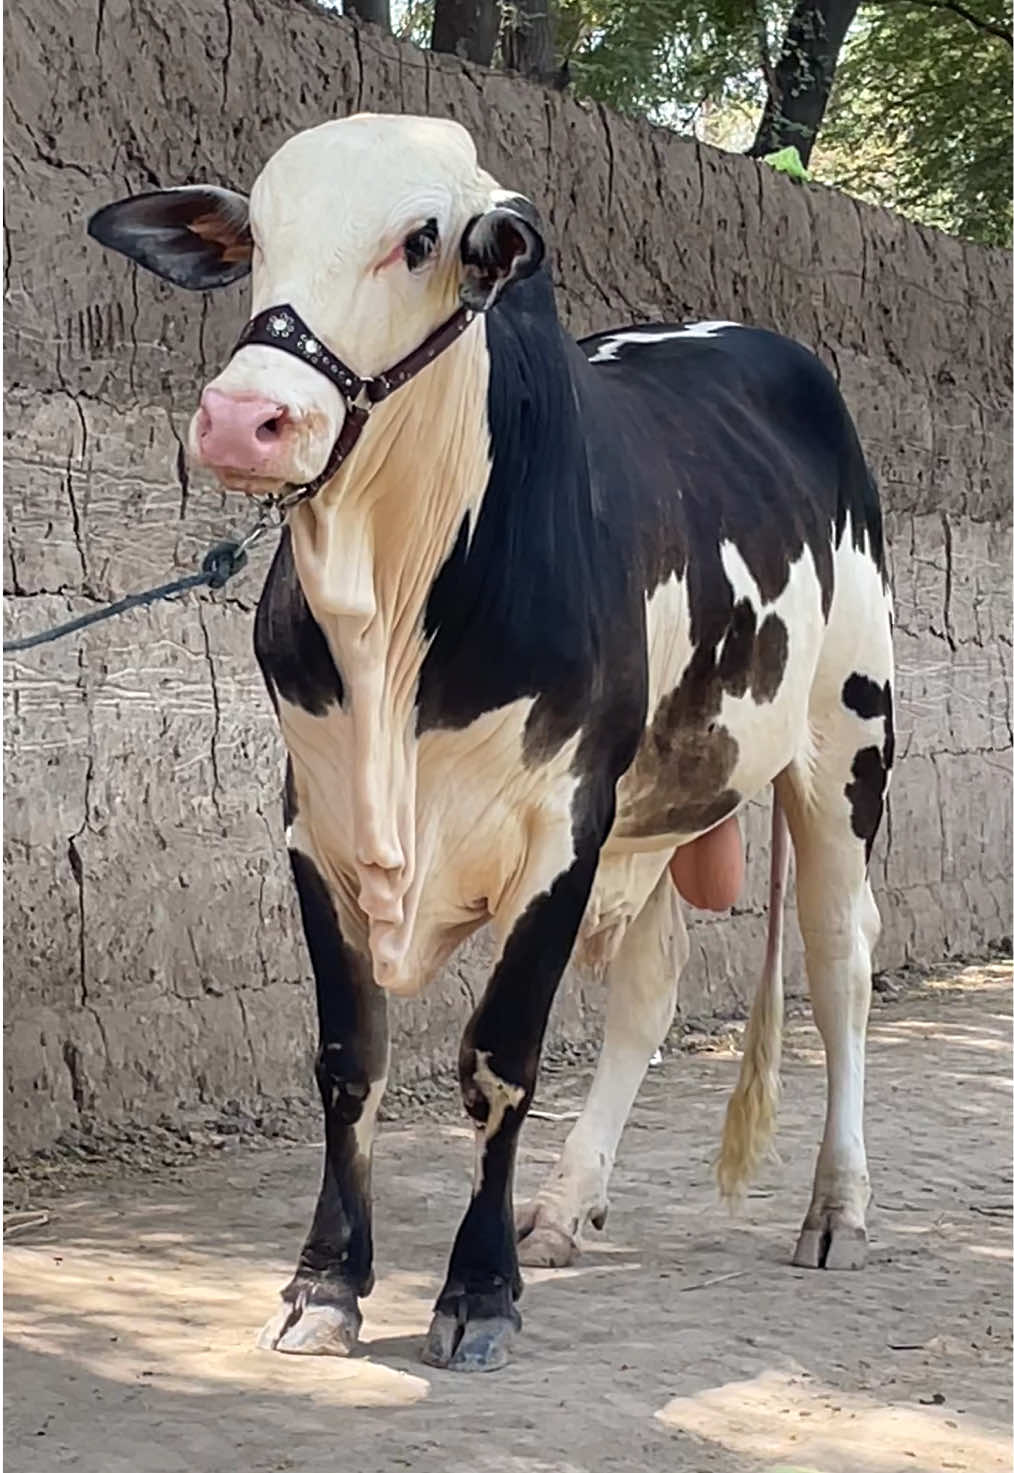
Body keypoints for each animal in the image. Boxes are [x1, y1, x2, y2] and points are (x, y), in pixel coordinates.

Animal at [88, 112, 895, 1374]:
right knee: (651, 986)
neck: (389, 605)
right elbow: (349, 1063)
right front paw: (325, 1285)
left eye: (422, 238)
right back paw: (564, 1206)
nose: (242, 420)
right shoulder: (315, 825)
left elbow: (499, 1062)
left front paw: (477, 1296)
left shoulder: (559, 829)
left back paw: (836, 1209)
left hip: (846, 738)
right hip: (654, 806)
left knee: (839, 961)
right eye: (256, 233)